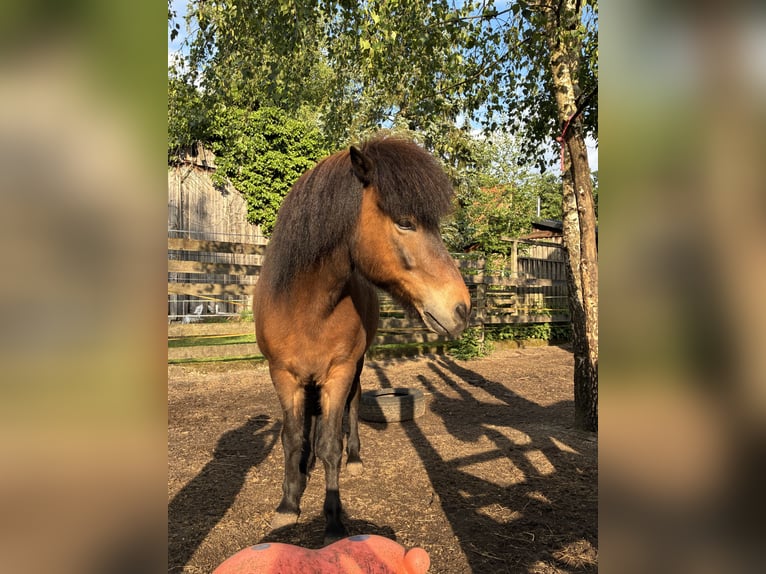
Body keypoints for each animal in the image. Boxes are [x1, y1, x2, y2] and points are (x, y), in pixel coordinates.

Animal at [253, 135, 471, 544]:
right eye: (405, 223)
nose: (462, 308)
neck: (307, 307)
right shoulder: (283, 375)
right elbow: (292, 438)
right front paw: (288, 504)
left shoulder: (339, 371)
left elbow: (330, 444)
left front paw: (334, 521)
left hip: (356, 365)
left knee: (353, 404)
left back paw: (354, 456)